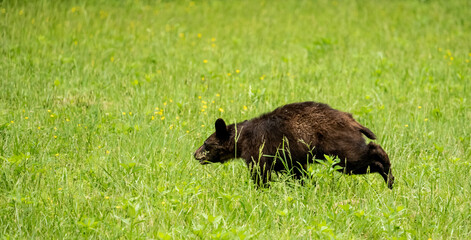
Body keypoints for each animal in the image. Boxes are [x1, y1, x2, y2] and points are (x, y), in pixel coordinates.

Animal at [194, 101, 396, 189]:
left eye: (206, 143)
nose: (195, 154)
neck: (241, 139)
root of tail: (351, 119)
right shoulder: (289, 157)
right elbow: (297, 172)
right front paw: (308, 186)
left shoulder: (258, 148)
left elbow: (260, 172)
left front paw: (260, 190)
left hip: (337, 145)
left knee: (358, 157)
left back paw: (388, 174)